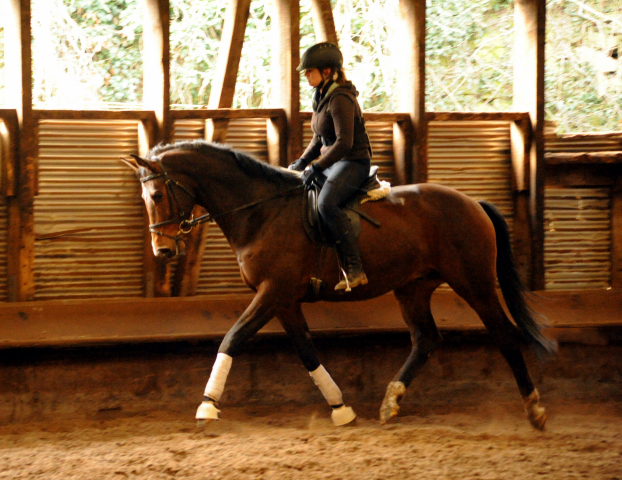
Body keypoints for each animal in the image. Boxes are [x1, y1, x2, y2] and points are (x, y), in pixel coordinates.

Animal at [120, 141, 556, 430]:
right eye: (145, 196)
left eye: (156, 194)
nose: (163, 250)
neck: (261, 211)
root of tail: (472, 203)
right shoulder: (284, 299)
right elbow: (306, 351)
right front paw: (340, 408)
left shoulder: (272, 291)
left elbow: (232, 338)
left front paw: (208, 404)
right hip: (413, 287)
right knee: (426, 339)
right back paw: (390, 402)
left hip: (474, 283)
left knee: (504, 335)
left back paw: (535, 410)